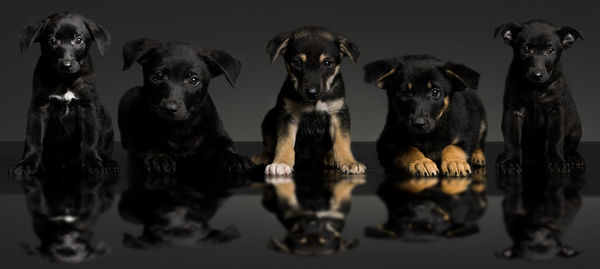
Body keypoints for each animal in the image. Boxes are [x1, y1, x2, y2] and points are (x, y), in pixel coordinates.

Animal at [9, 12, 116, 176]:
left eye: (78, 40)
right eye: (52, 40)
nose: (66, 65)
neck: (65, 80)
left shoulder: (88, 108)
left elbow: (90, 139)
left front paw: (93, 162)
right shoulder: (39, 108)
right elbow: (33, 139)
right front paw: (27, 162)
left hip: (108, 123)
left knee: (103, 148)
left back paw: (108, 162)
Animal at [118, 38, 252, 175]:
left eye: (193, 80)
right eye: (158, 75)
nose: (170, 108)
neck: (179, 127)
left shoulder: (219, 133)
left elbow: (227, 145)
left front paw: (234, 158)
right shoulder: (141, 134)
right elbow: (149, 142)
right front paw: (158, 157)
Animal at [252, 26, 366, 175]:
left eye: (327, 63)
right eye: (298, 63)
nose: (312, 93)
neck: (314, 103)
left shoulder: (339, 113)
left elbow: (342, 141)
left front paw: (350, 162)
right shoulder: (288, 115)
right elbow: (284, 142)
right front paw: (281, 162)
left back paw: (330, 157)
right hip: (269, 117)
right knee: (270, 144)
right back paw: (264, 155)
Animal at [494, 19, 584, 174]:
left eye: (550, 50)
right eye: (525, 49)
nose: (537, 75)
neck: (535, 89)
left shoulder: (555, 111)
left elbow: (555, 139)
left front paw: (556, 160)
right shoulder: (513, 112)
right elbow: (512, 140)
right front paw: (510, 161)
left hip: (576, 127)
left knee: (571, 147)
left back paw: (574, 158)